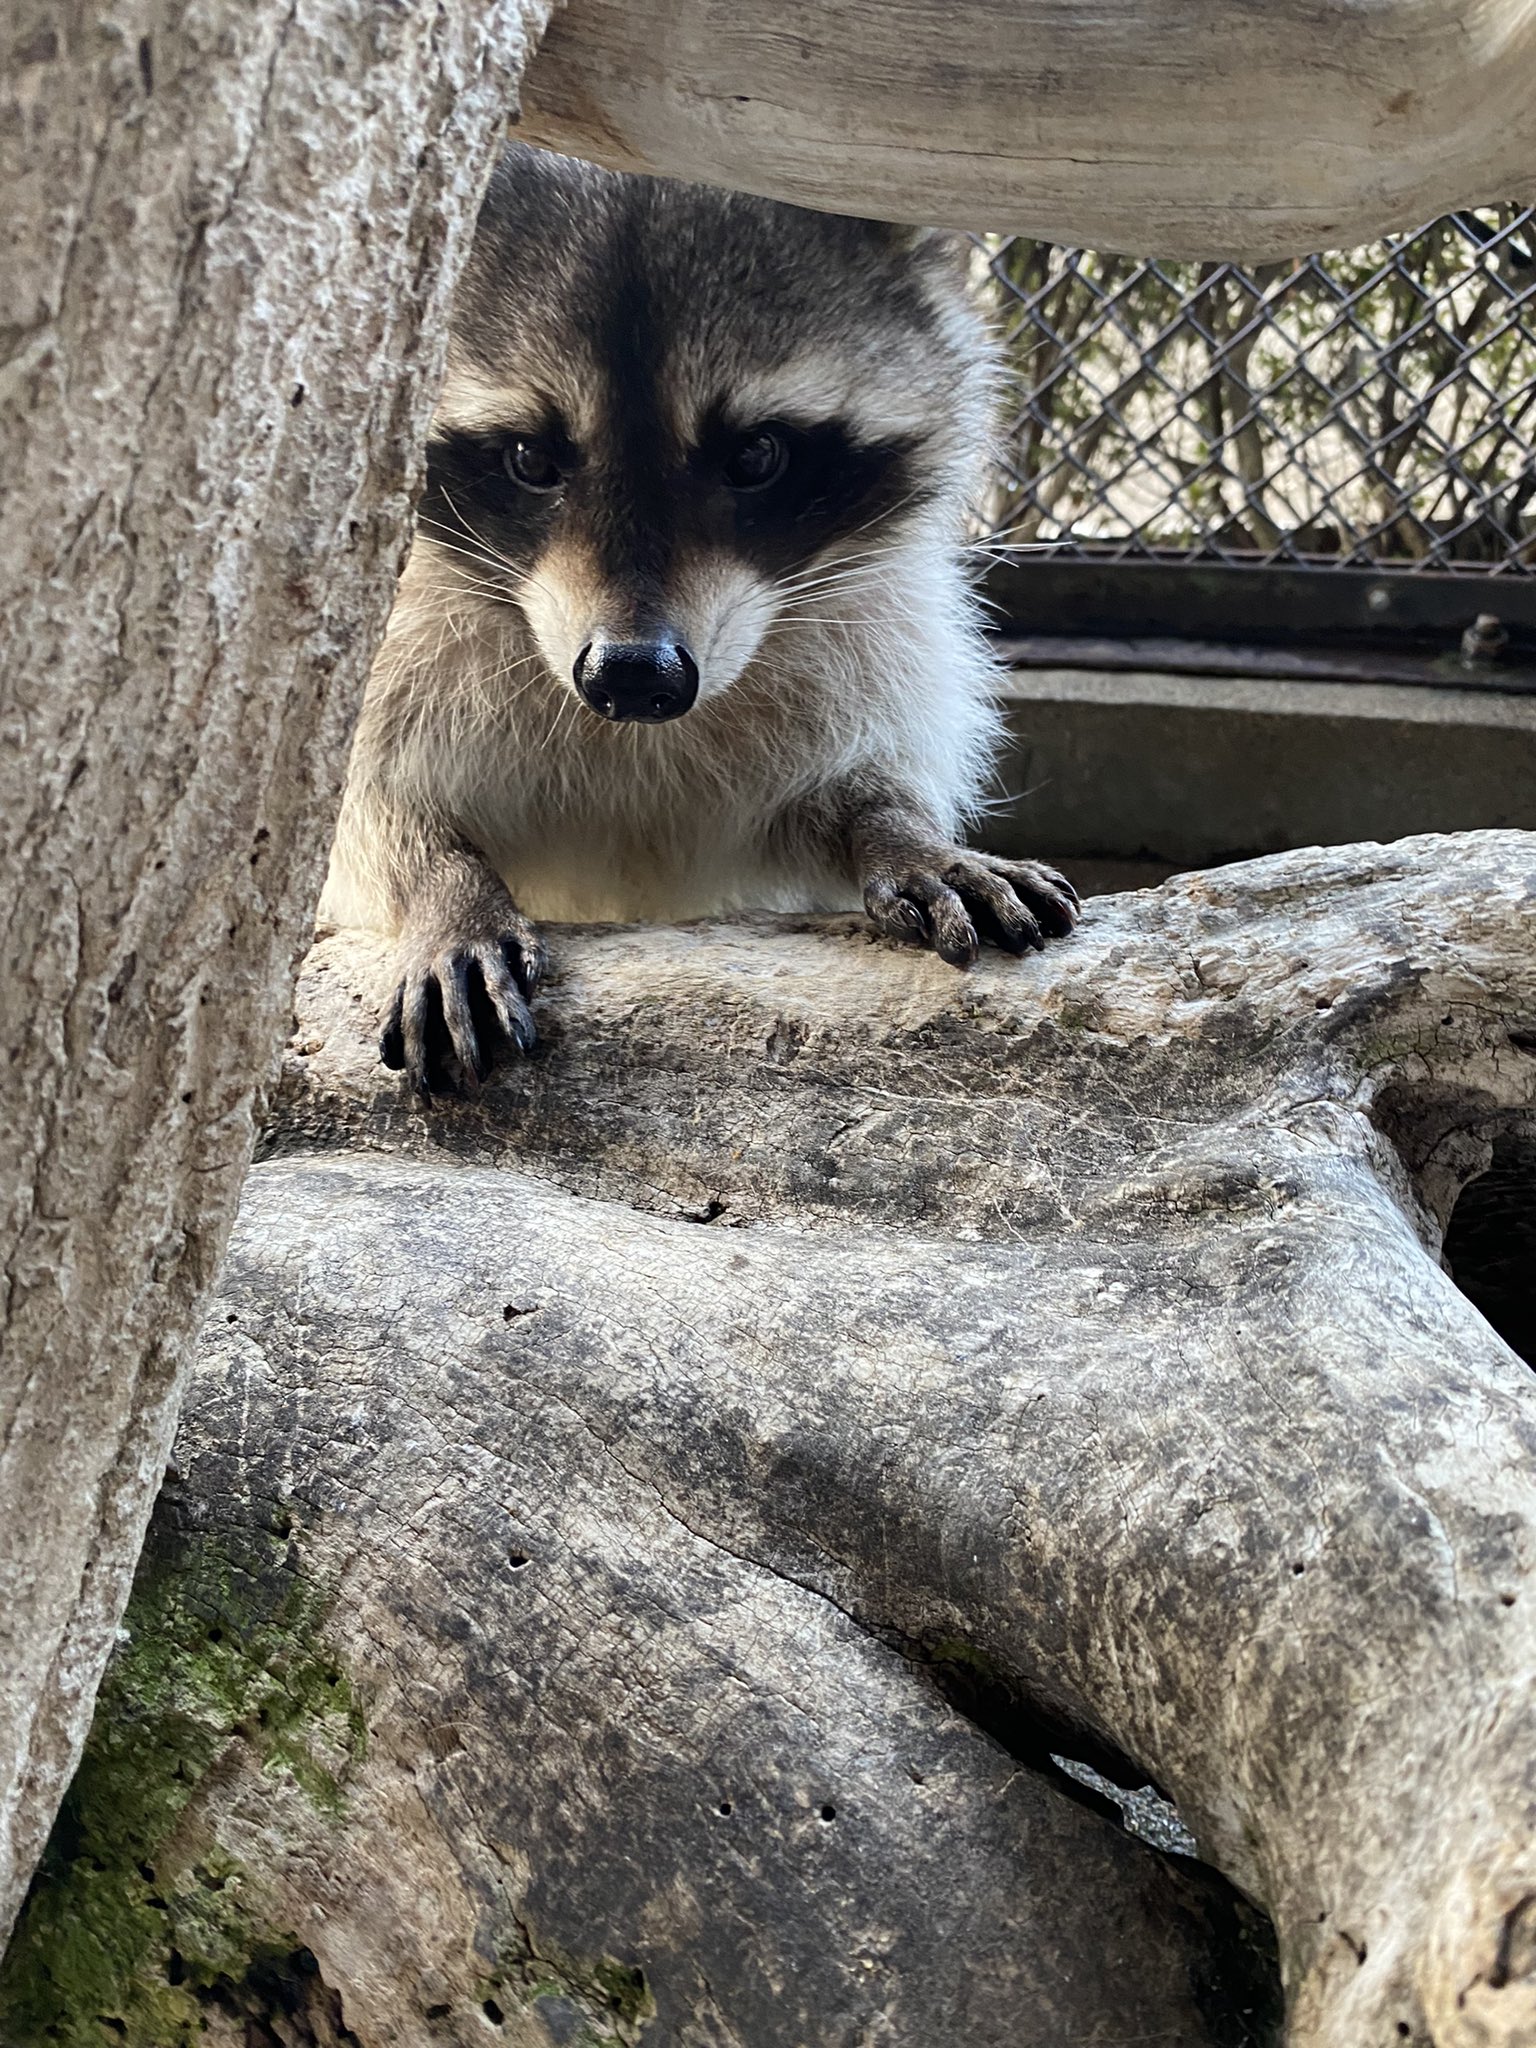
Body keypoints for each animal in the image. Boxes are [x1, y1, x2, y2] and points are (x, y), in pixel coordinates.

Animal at [321, 144, 1079, 1096]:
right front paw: (443, 885)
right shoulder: (391, 634)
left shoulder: (877, 615)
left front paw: (896, 827)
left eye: (756, 455)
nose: (633, 676)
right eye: (529, 458)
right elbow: (367, 805)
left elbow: (846, 780)